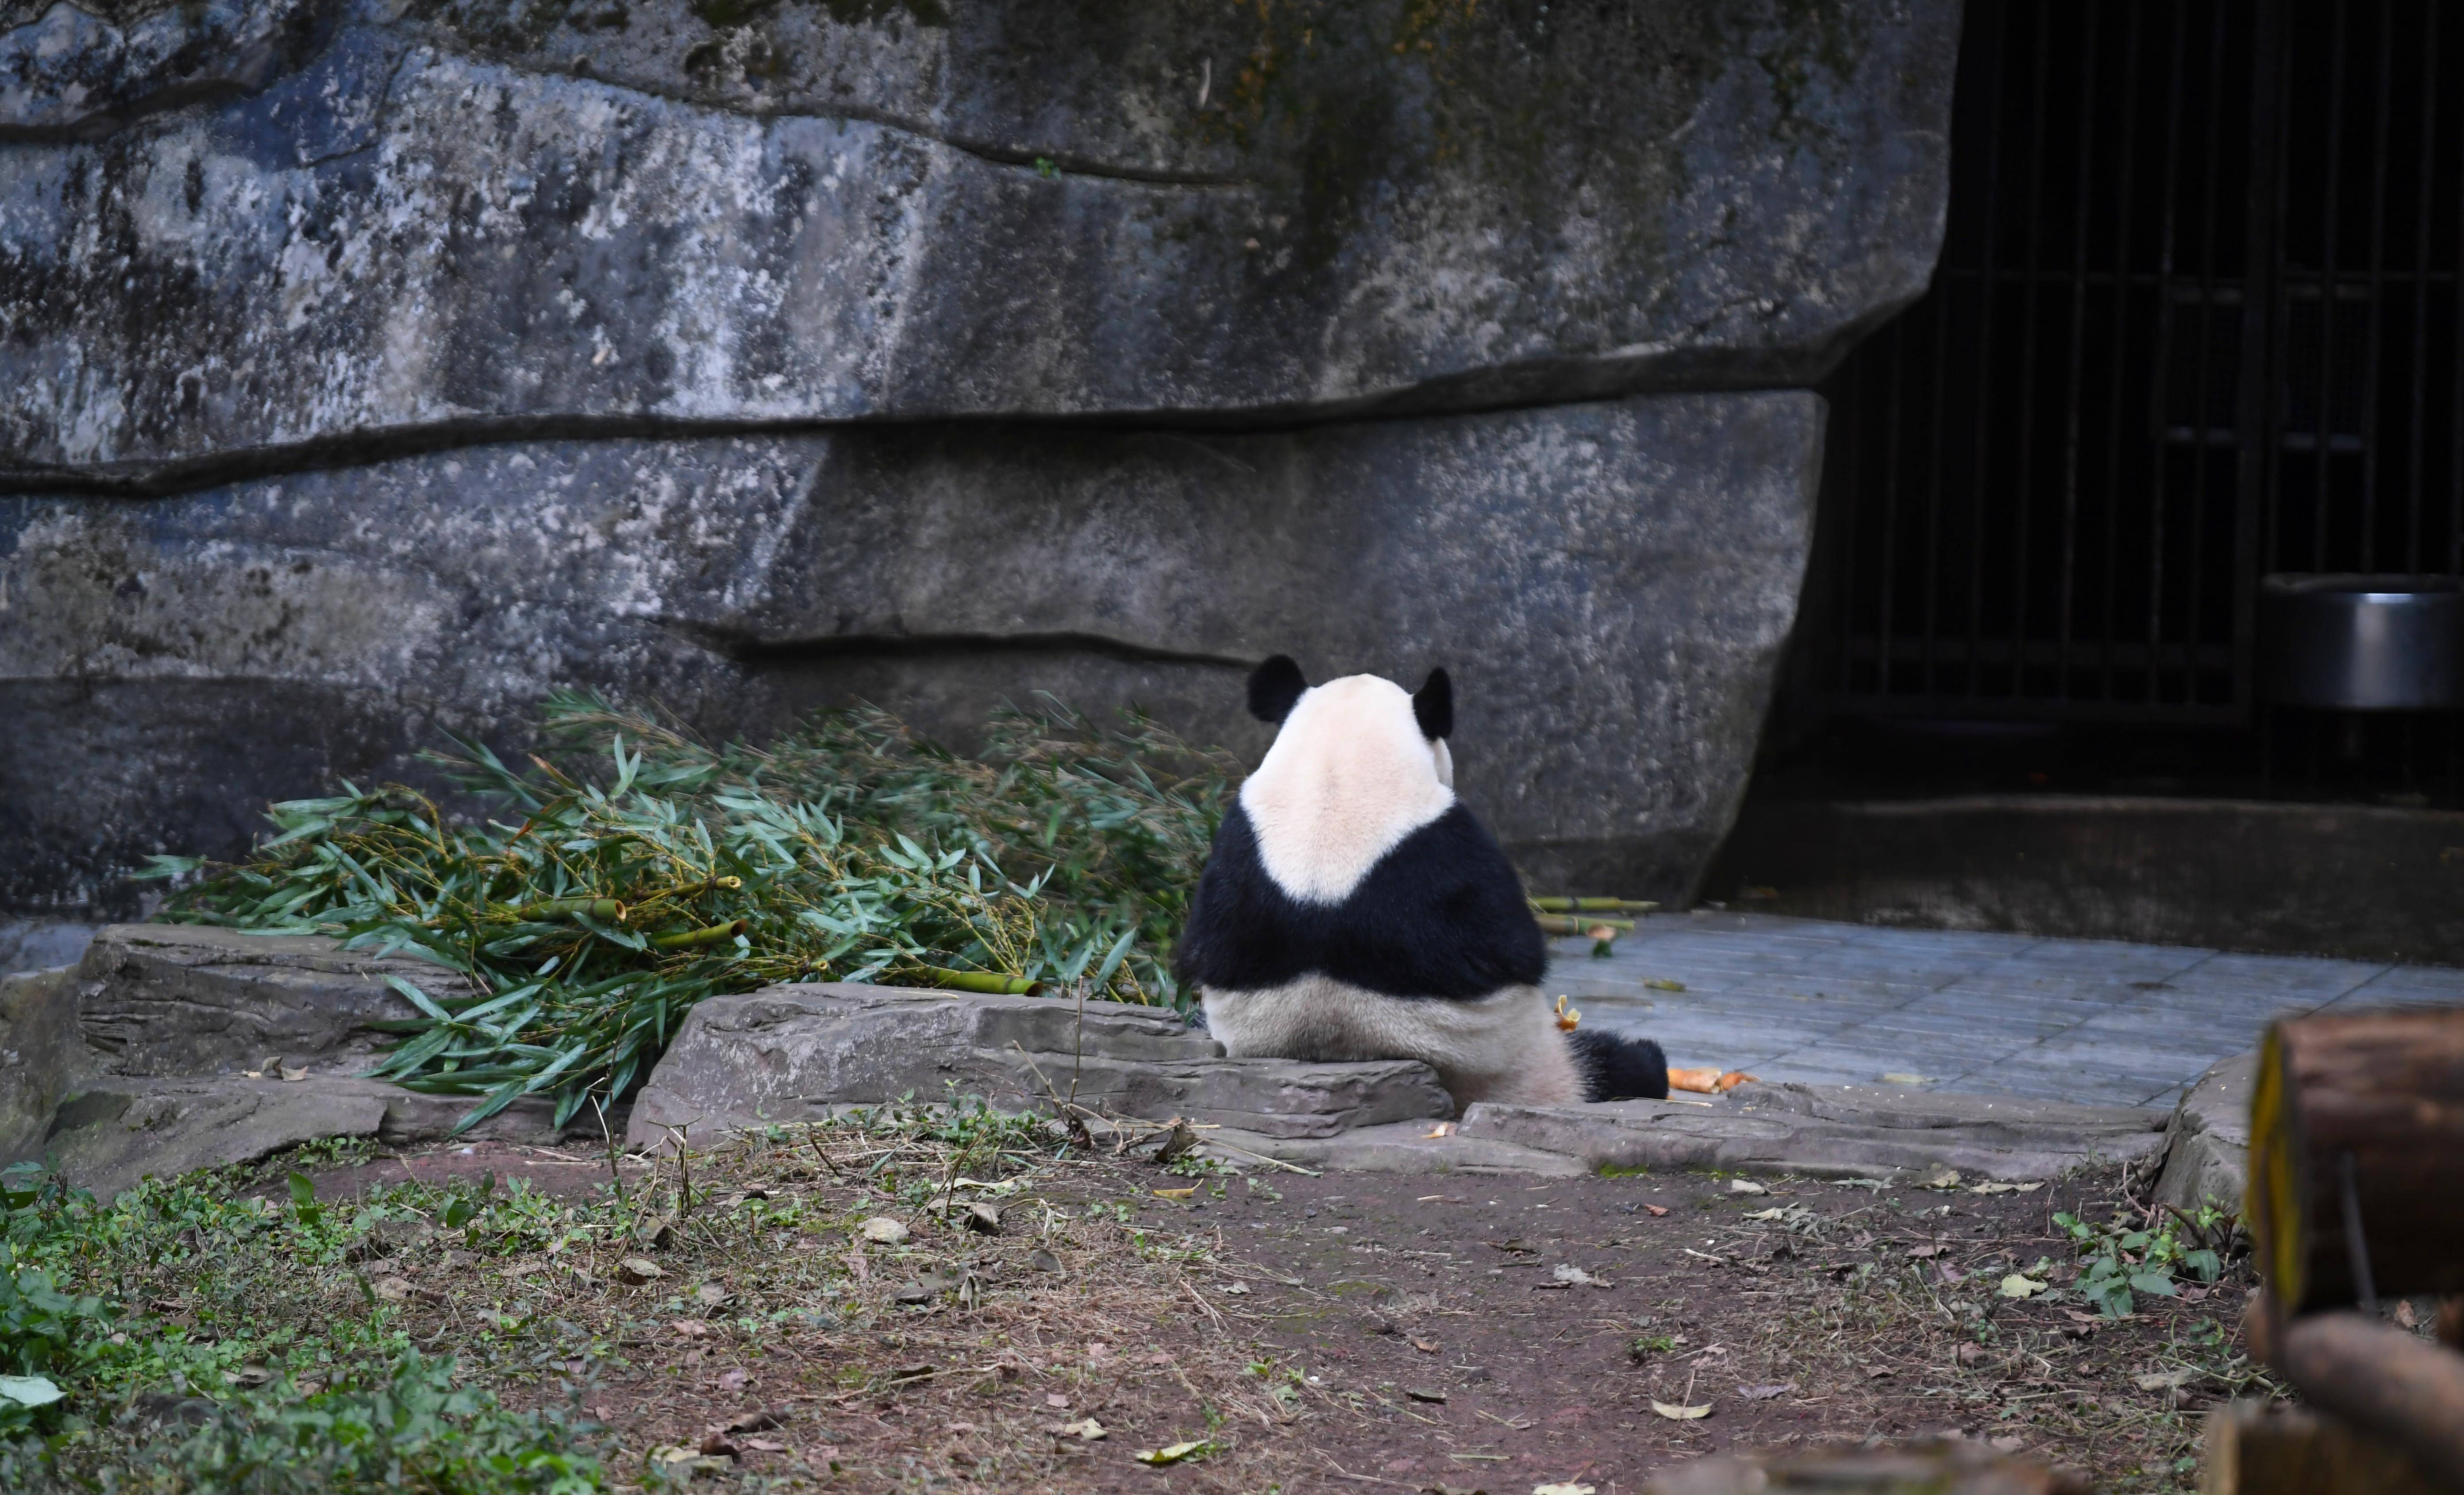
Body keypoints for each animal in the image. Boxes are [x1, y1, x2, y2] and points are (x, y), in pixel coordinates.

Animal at [1178, 655, 1675, 1113]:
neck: (1333, 783)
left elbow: (1200, 949)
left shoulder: (1234, 849)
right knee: (1614, 1066)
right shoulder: (1454, 856)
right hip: (1535, 1068)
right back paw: (1643, 1060)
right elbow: (1513, 950)